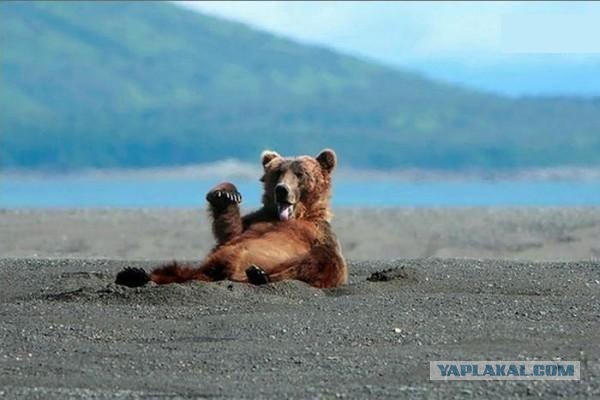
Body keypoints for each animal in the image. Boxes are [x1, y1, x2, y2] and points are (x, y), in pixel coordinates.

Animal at [115, 148, 346, 290]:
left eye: (300, 174)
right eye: (278, 172)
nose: (282, 190)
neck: (291, 217)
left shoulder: (318, 234)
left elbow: (330, 264)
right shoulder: (253, 222)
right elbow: (229, 232)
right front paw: (225, 194)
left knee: (308, 264)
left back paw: (259, 274)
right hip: (205, 267)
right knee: (175, 270)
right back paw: (134, 274)